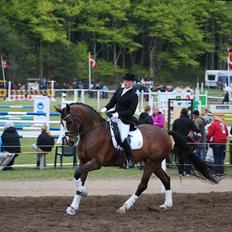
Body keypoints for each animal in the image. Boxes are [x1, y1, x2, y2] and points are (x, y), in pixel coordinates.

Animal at [55, 103, 217, 216]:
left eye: (70, 121)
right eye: (61, 123)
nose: (70, 141)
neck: (92, 132)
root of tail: (165, 132)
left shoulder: (96, 162)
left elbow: (77, 175)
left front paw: (84, 192)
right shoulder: (84, 162)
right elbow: (79, 178)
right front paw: (73, 207)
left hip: (151, 163)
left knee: (143, 185)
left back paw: (124, 207)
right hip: (154, 163)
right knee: (166, 180)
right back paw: (167, 205)